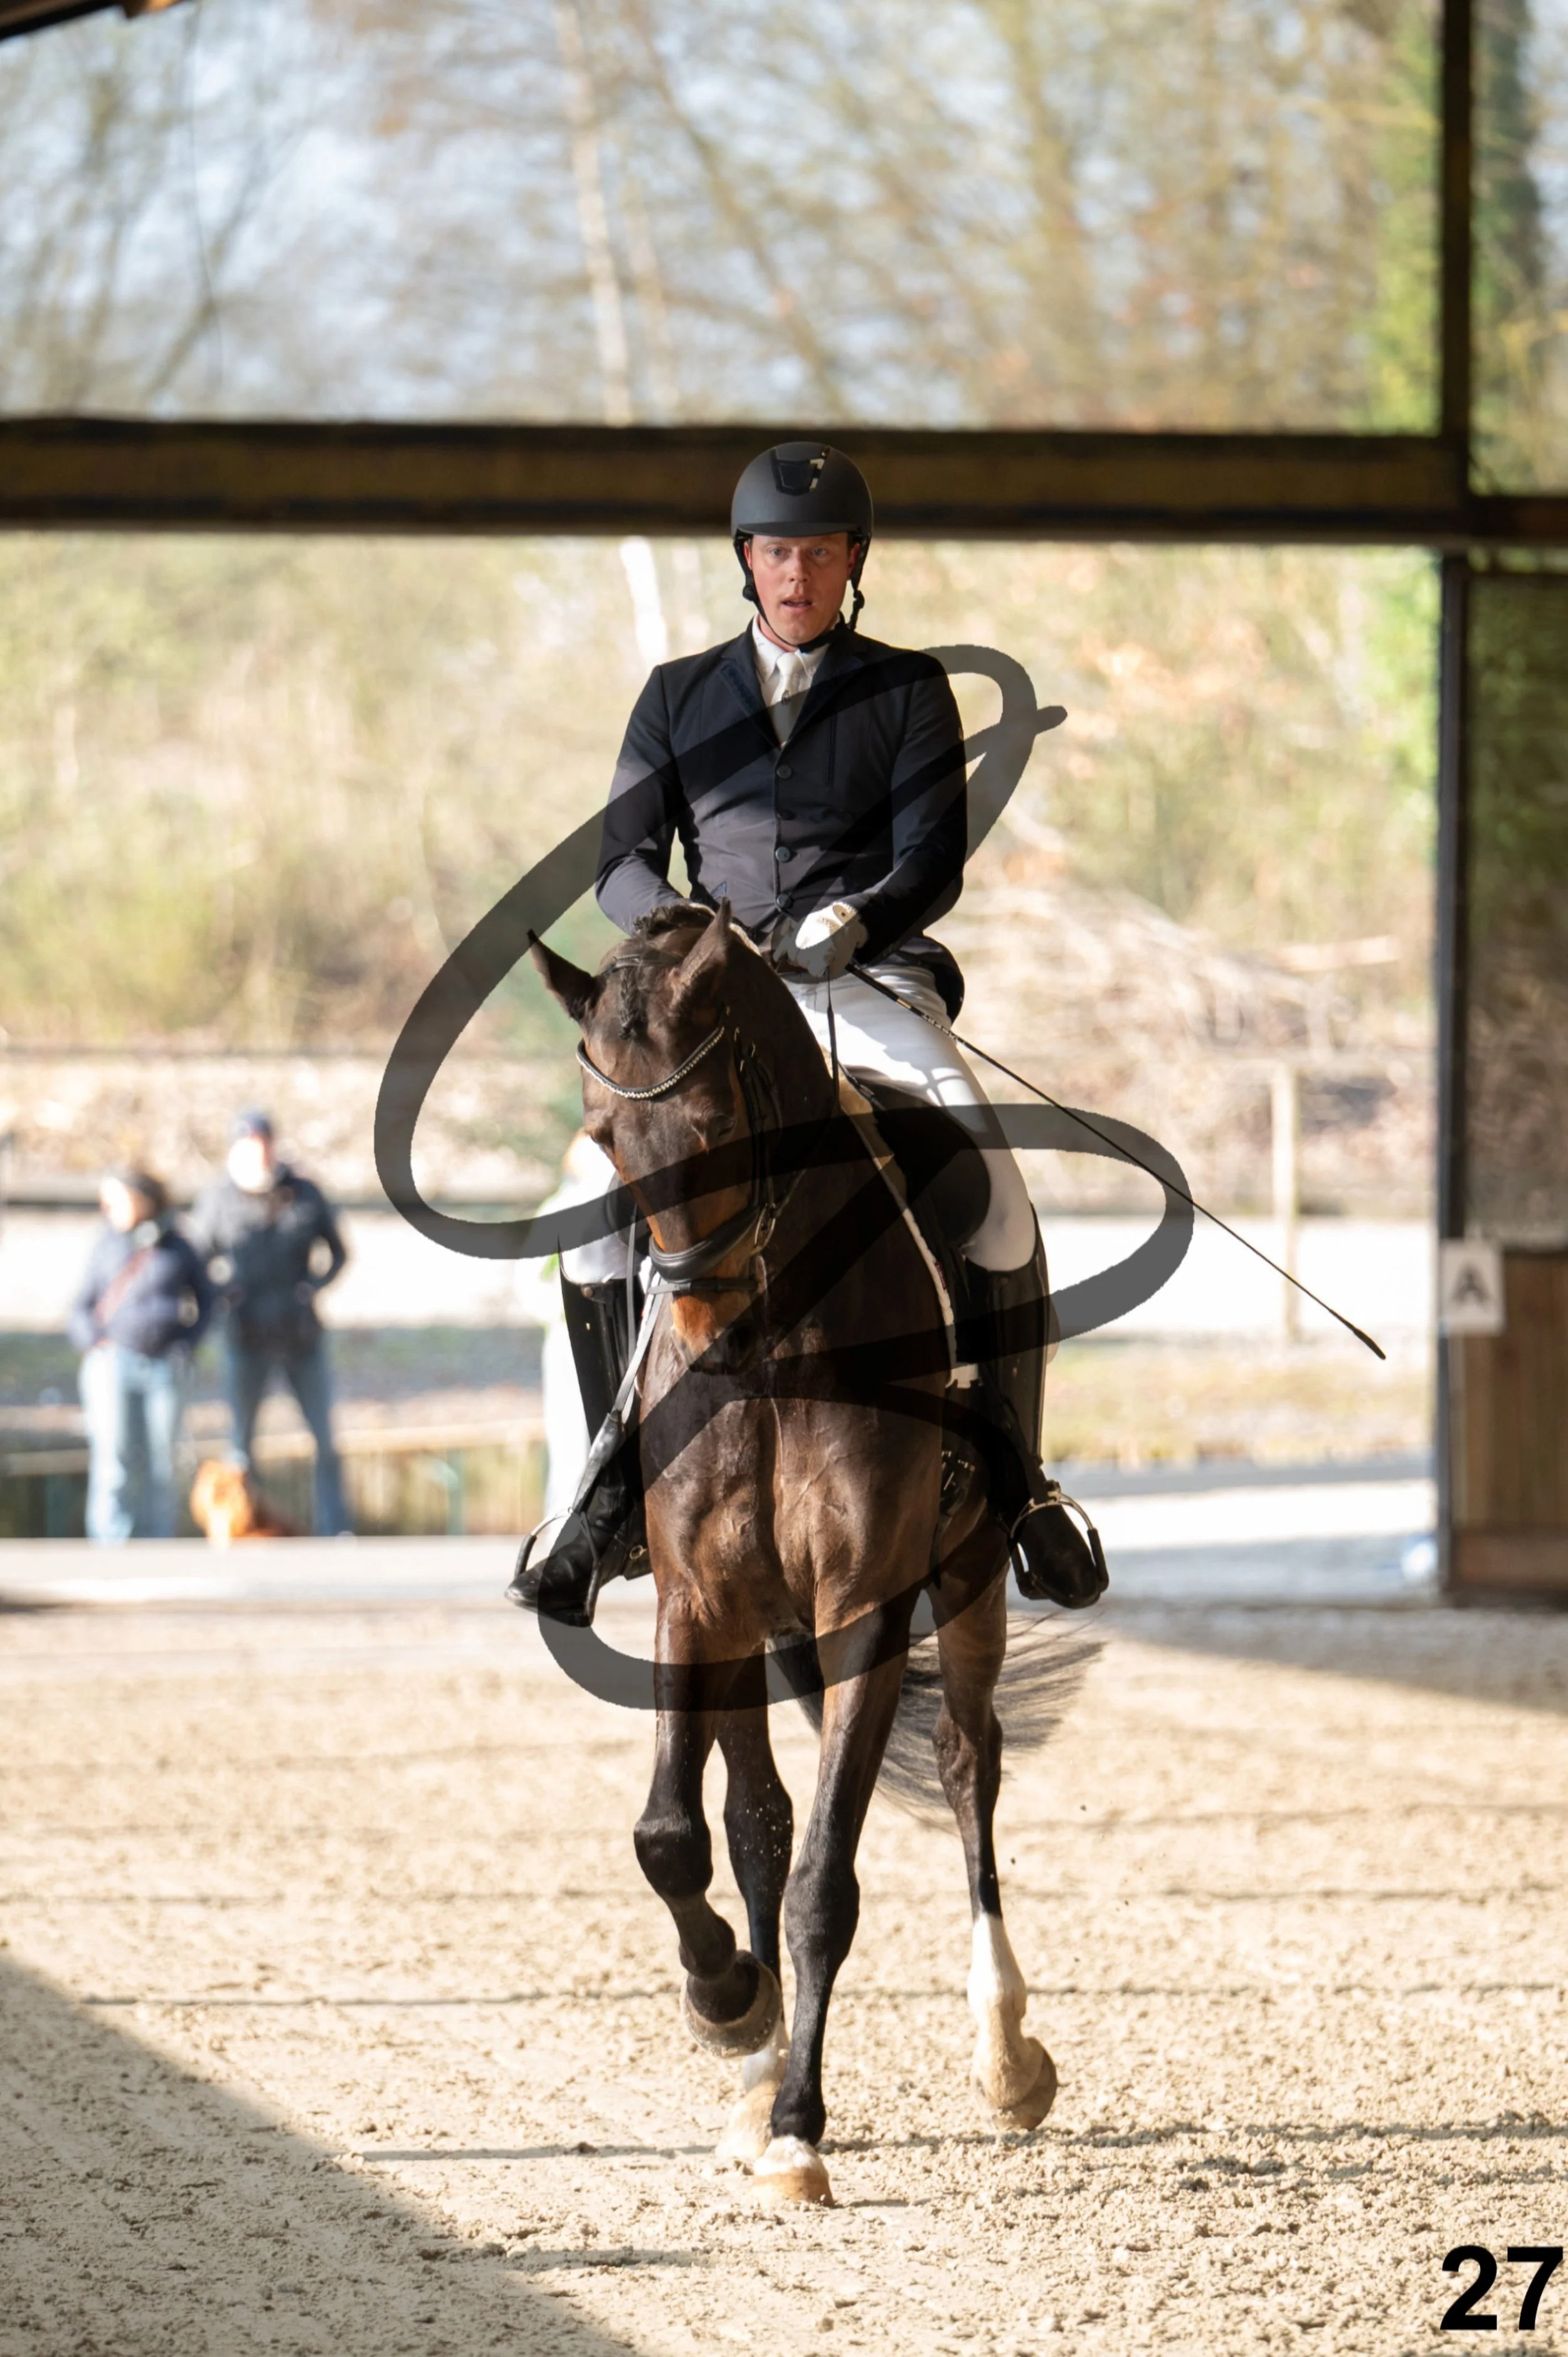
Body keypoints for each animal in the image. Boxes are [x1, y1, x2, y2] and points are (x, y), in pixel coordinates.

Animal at [527, 898, 1096, 2208]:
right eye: (607, 1139)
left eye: (718, 1127)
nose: (704, 1335)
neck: (779, 1337)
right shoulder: (699, 1601)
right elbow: (684, 1834)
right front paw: (730, 2005)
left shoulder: (867, 1607)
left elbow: (825, 1879)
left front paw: (799, 2125)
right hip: (755, 1619)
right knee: (757, 1818)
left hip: (972, 1575)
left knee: (968, 1761)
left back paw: (1005, 2052)